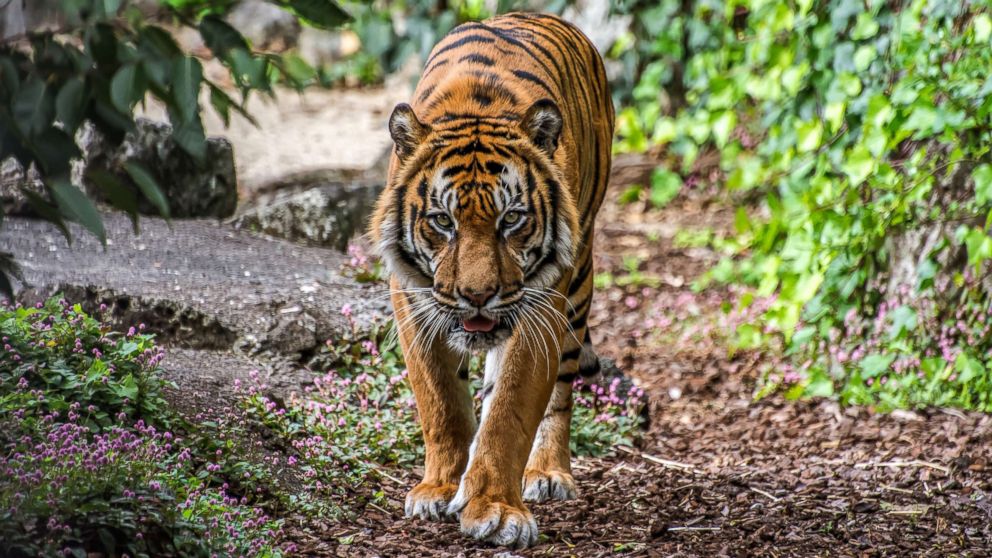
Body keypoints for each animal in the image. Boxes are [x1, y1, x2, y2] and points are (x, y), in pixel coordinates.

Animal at [366, 12, 608, 552]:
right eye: (443, 221)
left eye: (511, 219)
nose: (477, 296)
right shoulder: (412, 299)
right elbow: (441, 402)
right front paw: (438, 488)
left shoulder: (541, 304)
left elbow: (510, 411)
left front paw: (495, 510)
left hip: (578, 284)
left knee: (561, 390)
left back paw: (547, 473)